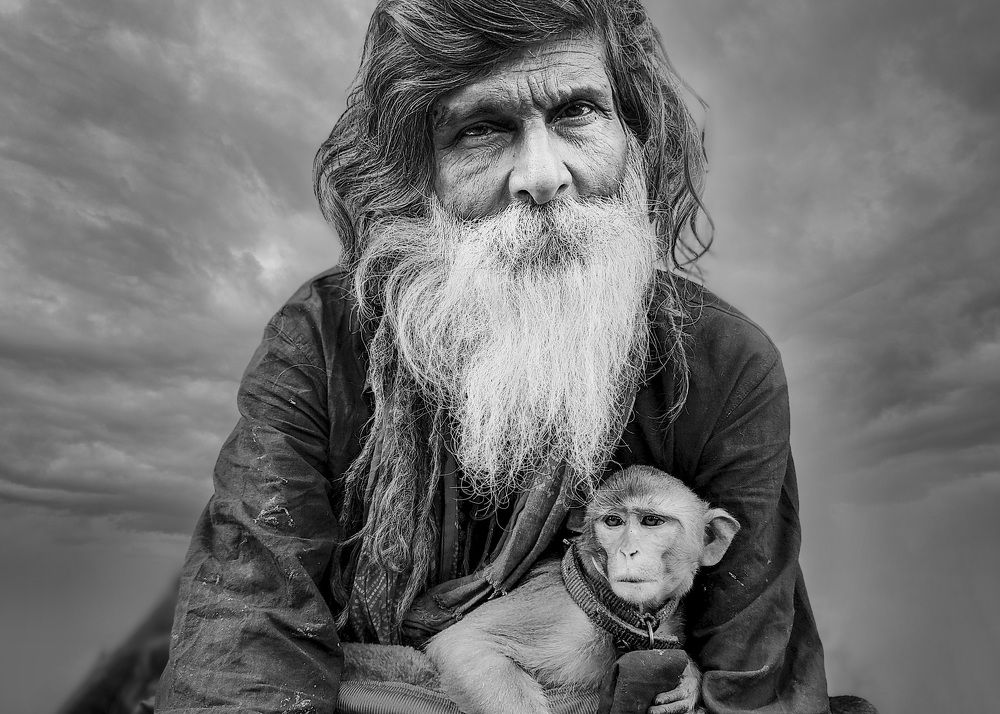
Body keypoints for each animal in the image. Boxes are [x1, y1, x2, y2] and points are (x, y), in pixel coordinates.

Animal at [424, 465, 740, 714]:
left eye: (651, 521)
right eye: (613, 521)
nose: (628, 551)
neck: (608, 605)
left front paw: (688, 681)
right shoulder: (561, 619)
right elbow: (464, 642)